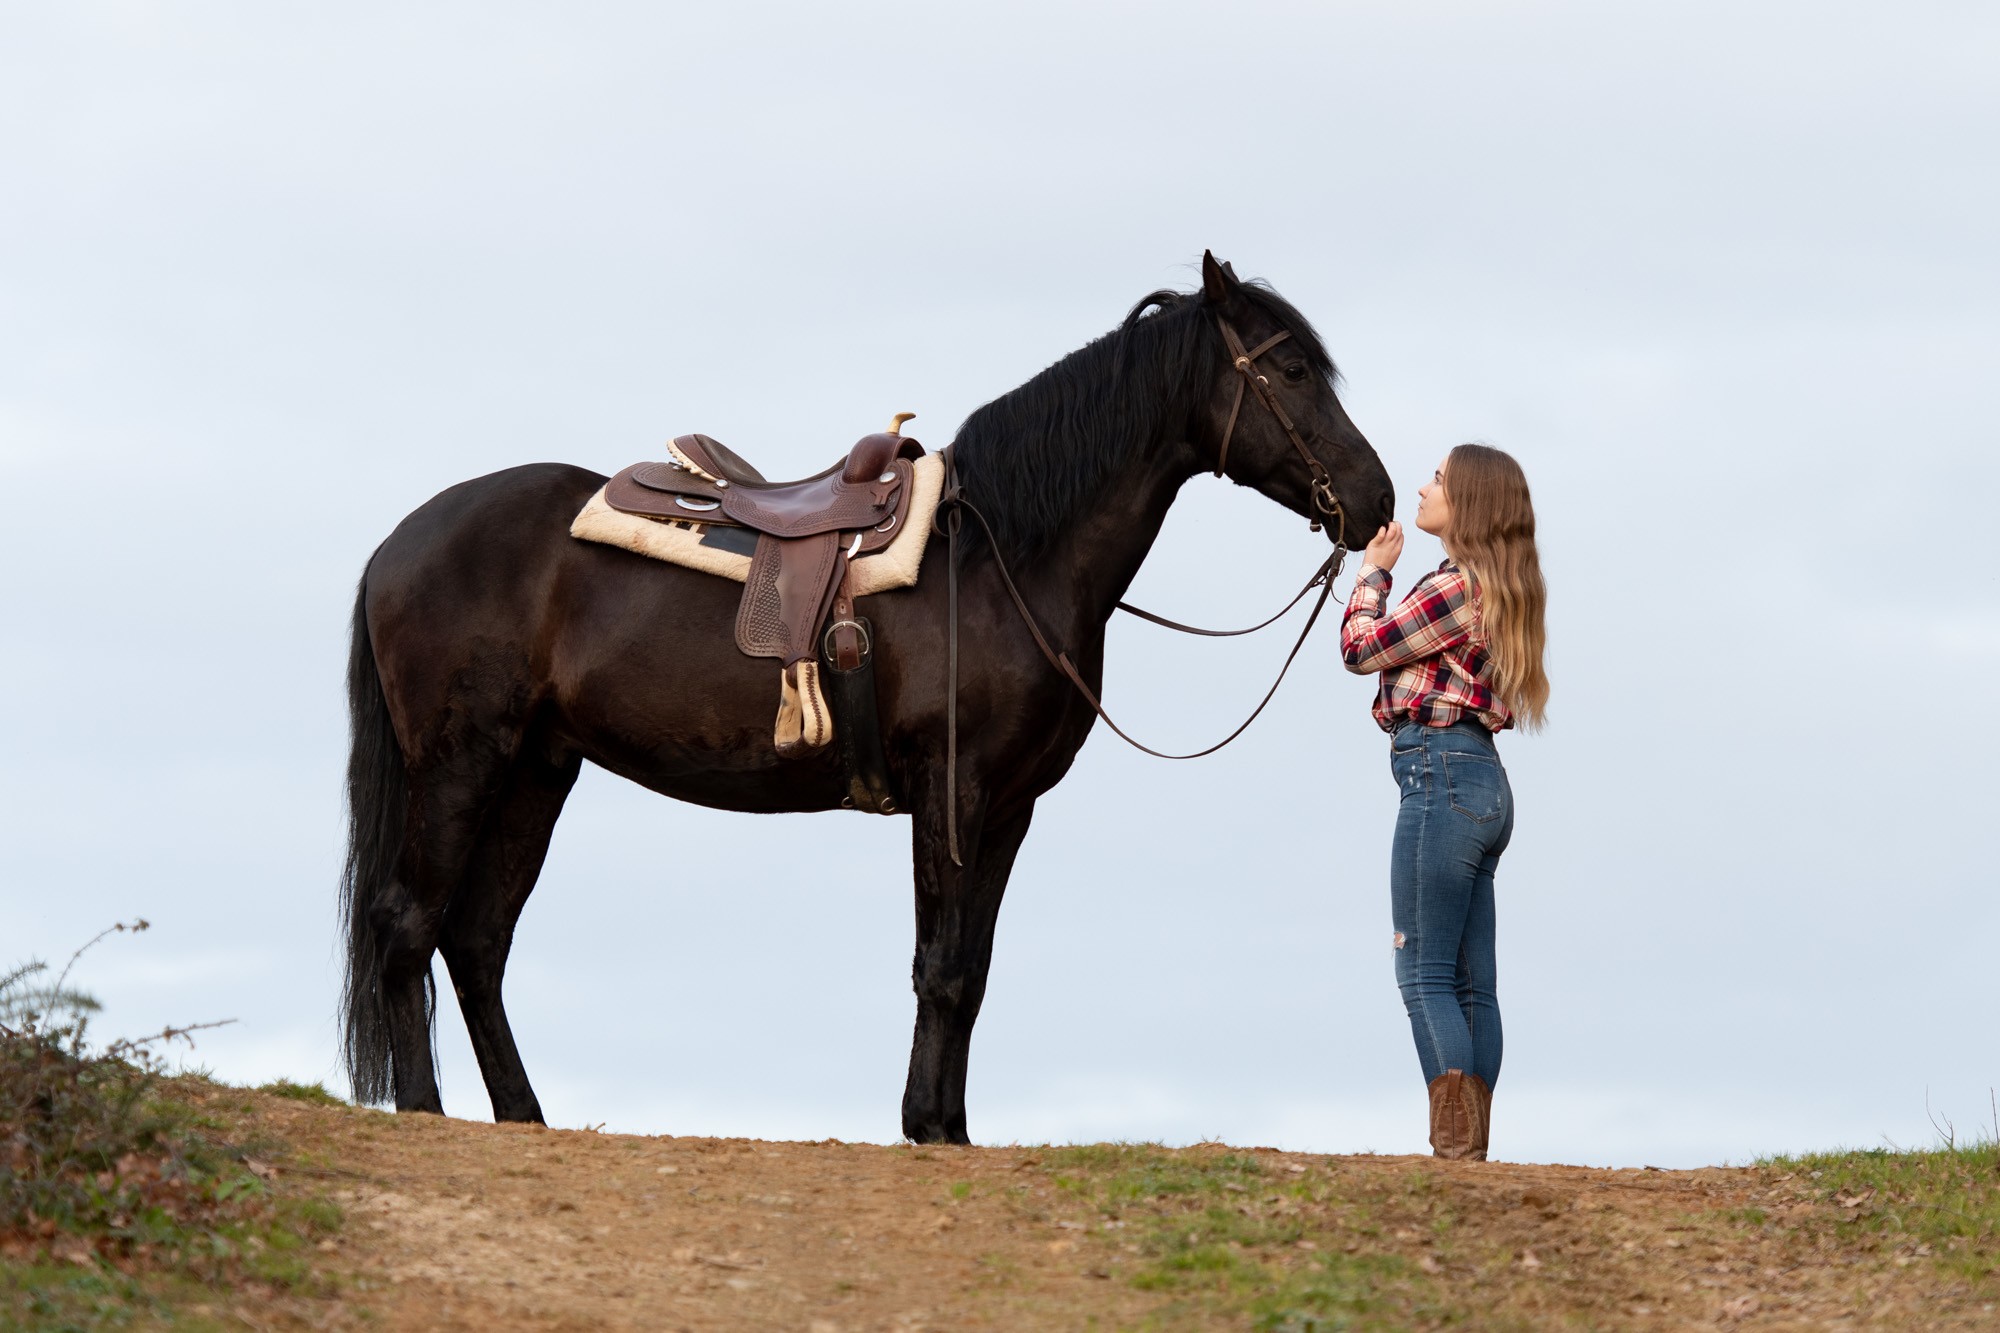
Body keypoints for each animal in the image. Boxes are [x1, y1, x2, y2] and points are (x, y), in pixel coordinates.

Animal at [340, 252, 1394, 1144]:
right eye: (1290, 367)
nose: (1375, 500)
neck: (999, 559)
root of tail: (398, 542)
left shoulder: (1009, 807)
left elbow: (972, 969)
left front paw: (951, 1125)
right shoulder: (951, 788)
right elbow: (941, 963)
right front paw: (926, 1124)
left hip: (537, 768)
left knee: (477, 940)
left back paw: (524, 1116)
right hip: (462, 761)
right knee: (407, 921)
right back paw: (424, 1108)